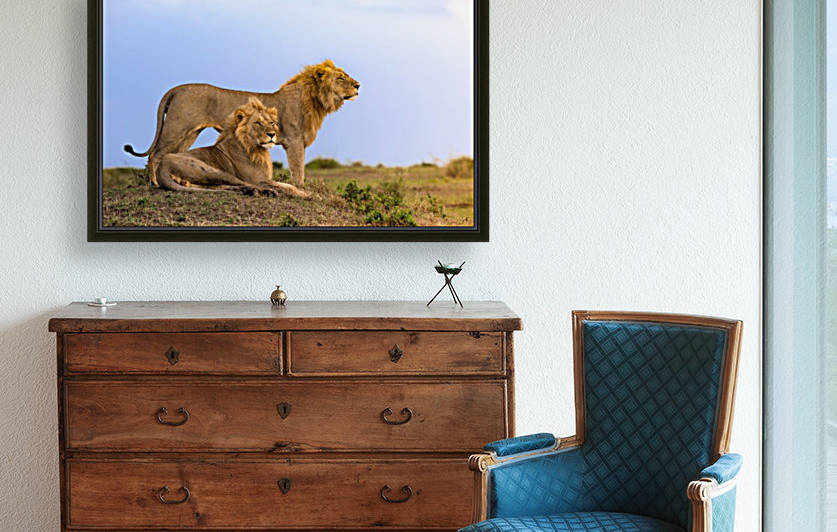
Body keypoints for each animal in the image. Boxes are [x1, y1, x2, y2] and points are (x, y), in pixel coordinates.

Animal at [125, 59, 360, 188]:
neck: (316, 100)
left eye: (346, 76)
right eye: (340, 78)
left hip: (189, 133)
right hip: (177, 127)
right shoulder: (294, 142)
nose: (358, 85)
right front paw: (300, 187)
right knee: (155, 154)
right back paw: (155, 184)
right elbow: (298, 170)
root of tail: (177, 88)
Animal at [156, 97, 308, 198]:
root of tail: (161, 169)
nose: (272, 134)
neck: (255, 148)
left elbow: (287, 184)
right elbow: (286, 186)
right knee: (243, 184)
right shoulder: (257, 178)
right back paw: (264, 192)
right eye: (258, 123)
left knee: (215, 186)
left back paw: (251, 192)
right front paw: (305, 194)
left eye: (272, 123)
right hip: (211, 170)